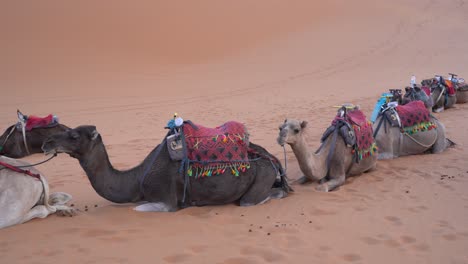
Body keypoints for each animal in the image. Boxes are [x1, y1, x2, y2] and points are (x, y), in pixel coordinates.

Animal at [43, 124, 292, 212]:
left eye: (74, 135)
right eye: (68, 129)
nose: (47, 143)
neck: (136, 180)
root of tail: (272, 158)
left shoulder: (166, 201)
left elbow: (138, 208)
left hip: (260, 179)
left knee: (255, 199)